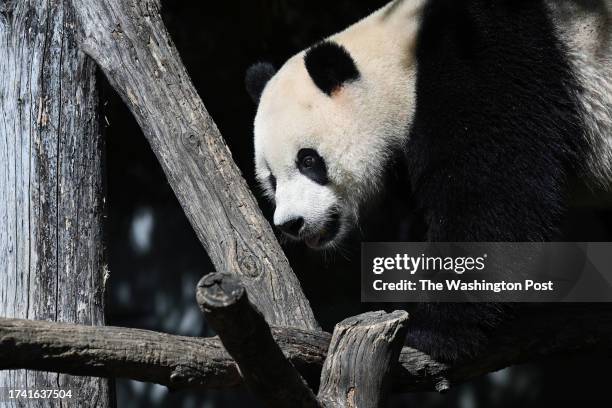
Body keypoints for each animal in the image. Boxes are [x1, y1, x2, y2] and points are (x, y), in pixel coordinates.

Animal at [245, 0, 612, 364]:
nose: (292, 223)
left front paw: (433, 332)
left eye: (308, 160)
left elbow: (494, 195)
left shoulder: (483, 64)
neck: (401, 62)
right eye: (272, 179)